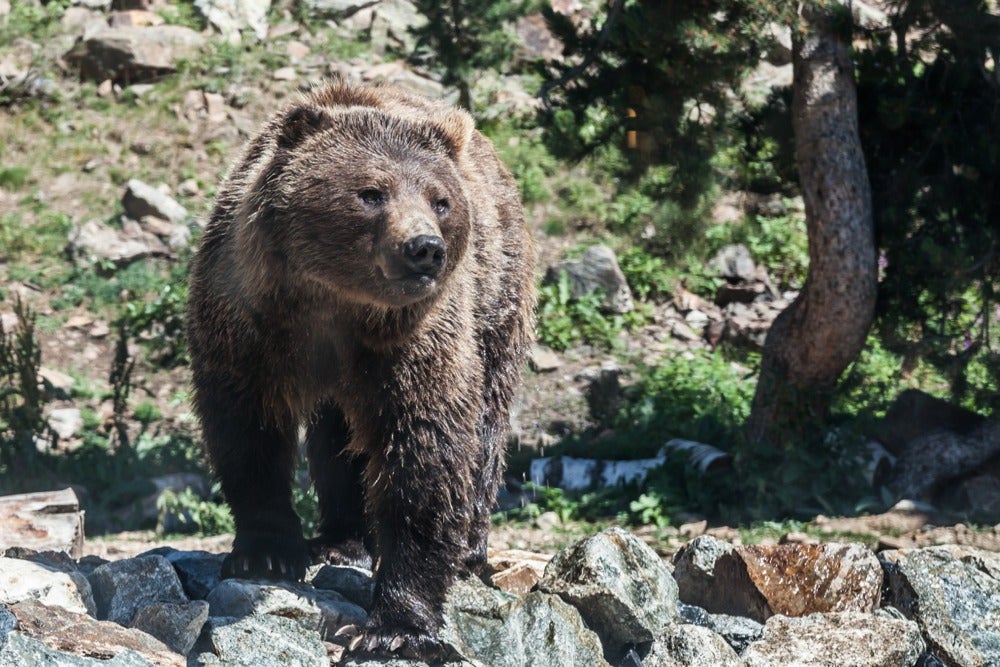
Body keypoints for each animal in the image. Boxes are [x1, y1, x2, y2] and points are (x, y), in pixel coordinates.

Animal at [186, 80, 535, 658]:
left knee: (486, 421)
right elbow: (246, 427)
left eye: (440, 201)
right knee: (339, 437)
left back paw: (467, 545)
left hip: (498, 301)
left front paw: (393, 626)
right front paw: (266, 551)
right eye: (371, 192)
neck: (335, 302)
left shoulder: (415, 339)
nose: (424, 249)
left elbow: (425, 451)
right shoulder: (248, 319)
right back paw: (342, 539)